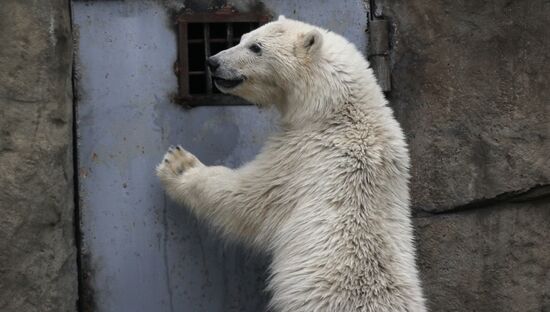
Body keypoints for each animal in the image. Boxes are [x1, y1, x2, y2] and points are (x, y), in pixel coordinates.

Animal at [157, 16, 430, 312]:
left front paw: (178, 165)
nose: (213, 61)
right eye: (242, 37)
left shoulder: (300, 155)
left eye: (256, 47)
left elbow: (249, 198)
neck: (334, 110)